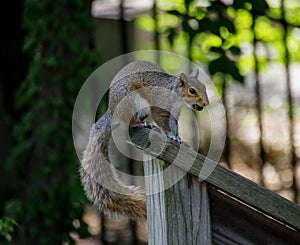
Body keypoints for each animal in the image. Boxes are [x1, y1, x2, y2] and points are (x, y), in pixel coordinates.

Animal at [81, 60, 210, 220]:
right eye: (192, 90)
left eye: (204, 87)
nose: (206, 103)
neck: (175, 95)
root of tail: (112, 113)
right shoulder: (159, 107)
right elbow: (163, 123)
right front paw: (171, 136)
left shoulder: (174, 114)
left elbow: (174, 125)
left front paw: (179, 139)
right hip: (131, 100)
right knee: (129, 122)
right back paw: (142, 124)